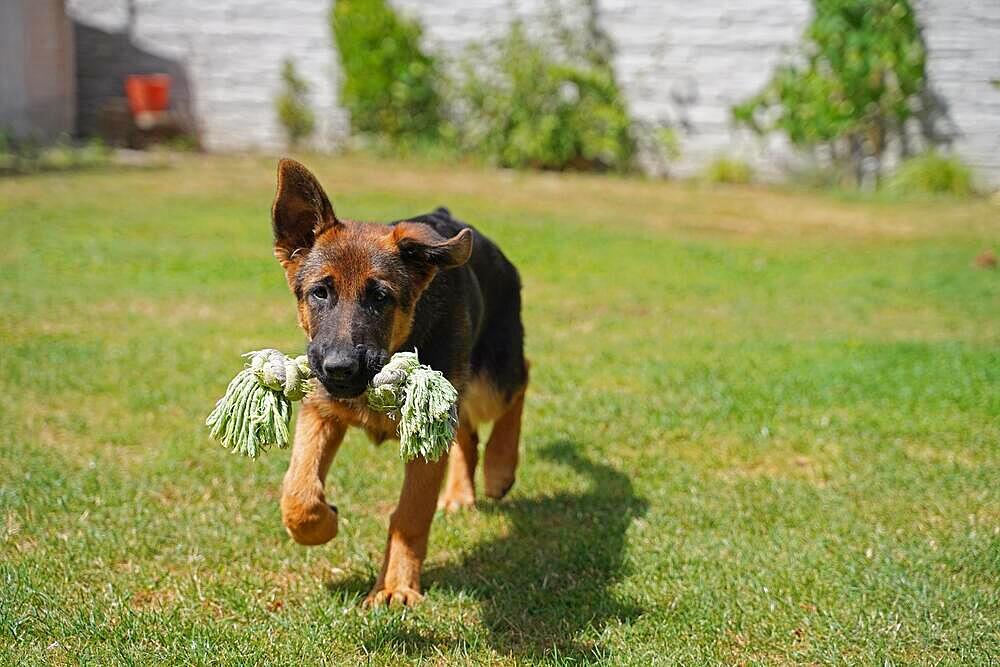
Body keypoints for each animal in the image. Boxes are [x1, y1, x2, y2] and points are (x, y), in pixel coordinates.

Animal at [270, 160, 528, 604]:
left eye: (381, 298)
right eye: (320, 292)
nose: (340, 369)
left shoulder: (426, 433)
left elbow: (410, 515)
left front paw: (396, 587)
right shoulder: (322, 411)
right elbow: (298, 492)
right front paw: (323, 524)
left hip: (491, 378)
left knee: (521, 380)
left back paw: (499, 467)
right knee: (467, 433)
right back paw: (460, 493)